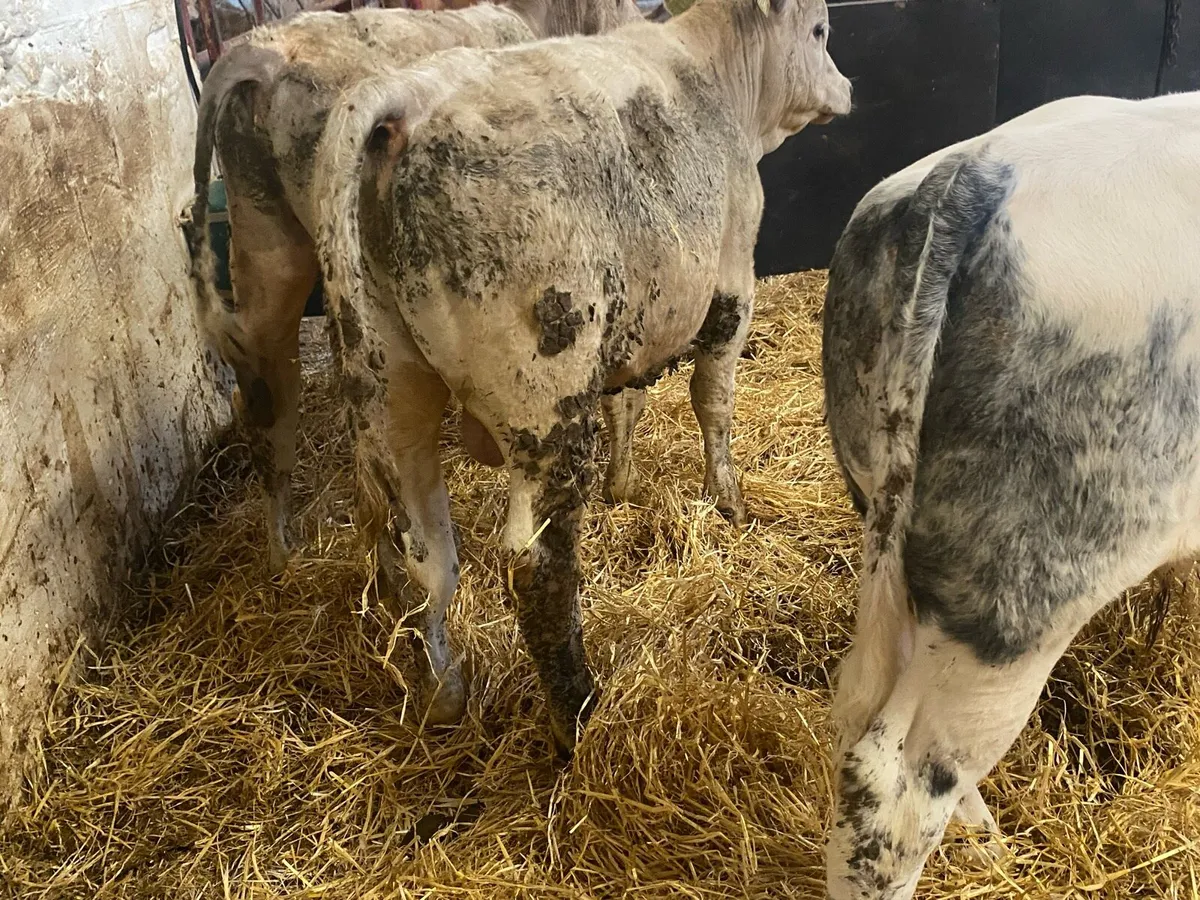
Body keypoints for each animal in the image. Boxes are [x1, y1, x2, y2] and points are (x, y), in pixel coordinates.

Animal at [311, 0, 852, 749]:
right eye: (821, 31)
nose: (847, 88)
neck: (717, 82)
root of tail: (409, 95)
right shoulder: (731, 285)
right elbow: (712, 402)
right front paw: (729, 501)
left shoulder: (638, 327)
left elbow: (632, 403)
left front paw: (623, 485)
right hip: (544, 397)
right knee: (535, 561)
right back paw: (580, 715)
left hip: (390, 392)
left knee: (421, 558)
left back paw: (444, 697)